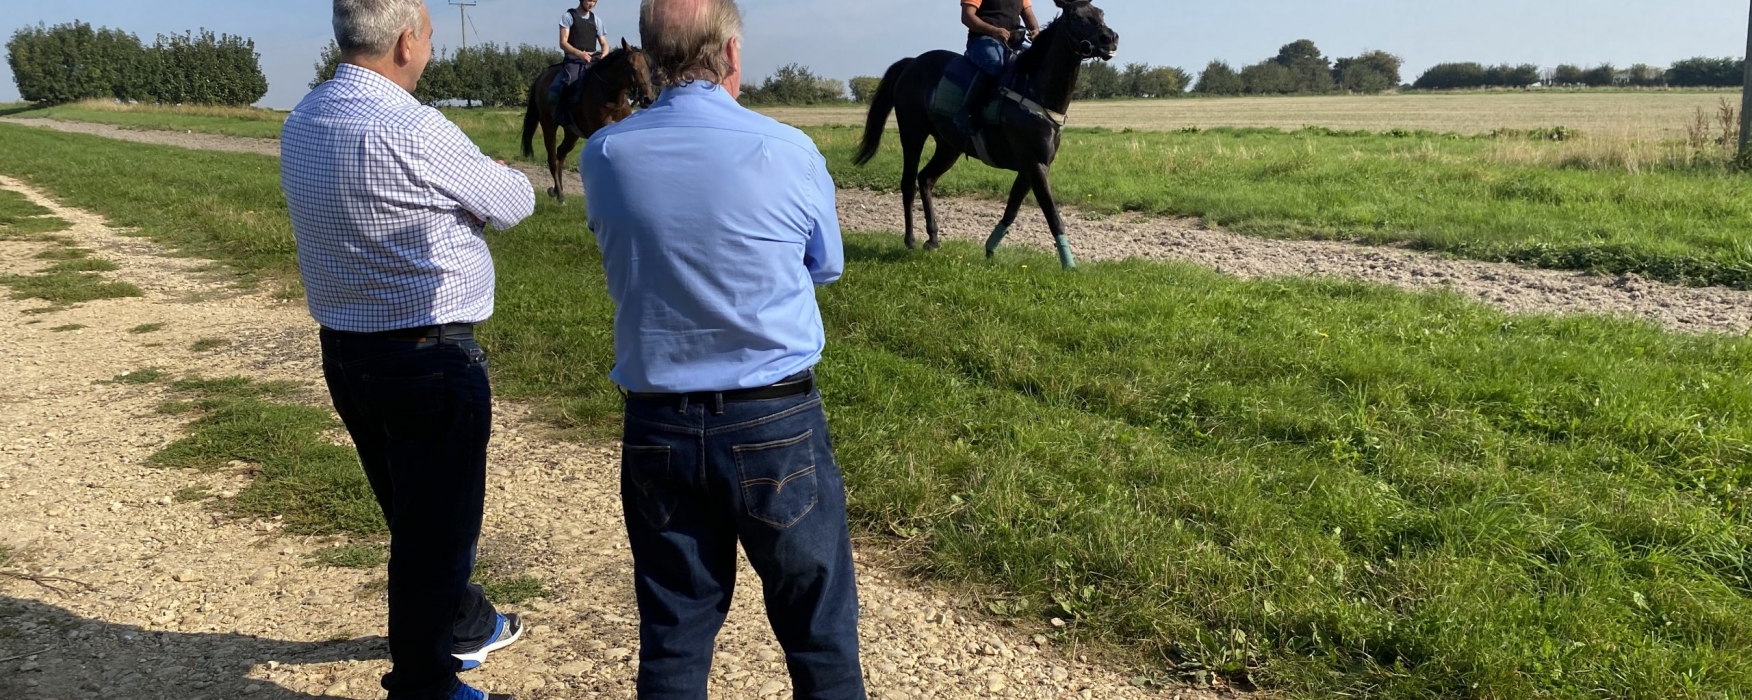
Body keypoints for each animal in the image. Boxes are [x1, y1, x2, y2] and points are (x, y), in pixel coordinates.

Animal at [521, 39, 656, 204]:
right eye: (631, 66)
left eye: (649, 66)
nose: (648, 98)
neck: (611, 97)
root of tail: (542, 77)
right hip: (548, 125)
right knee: (552, 158)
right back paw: (559, 195)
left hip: (571, 133)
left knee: (560, 154)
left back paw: (558, 191)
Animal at [853, 0, 1118, 269]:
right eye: (1075, 16)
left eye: (1100, 13)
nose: (1109, 38)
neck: (1033, 91)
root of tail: (912, 63)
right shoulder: (1036, 165)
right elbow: (1052, 215)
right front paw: (1069, 264)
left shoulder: (1030, 168)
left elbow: (1011, 210)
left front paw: (991, 248)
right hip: (912, 134)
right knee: (908, 183)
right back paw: (910, 239)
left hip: (949, 147)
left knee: (925, 179)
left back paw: (933, 238)